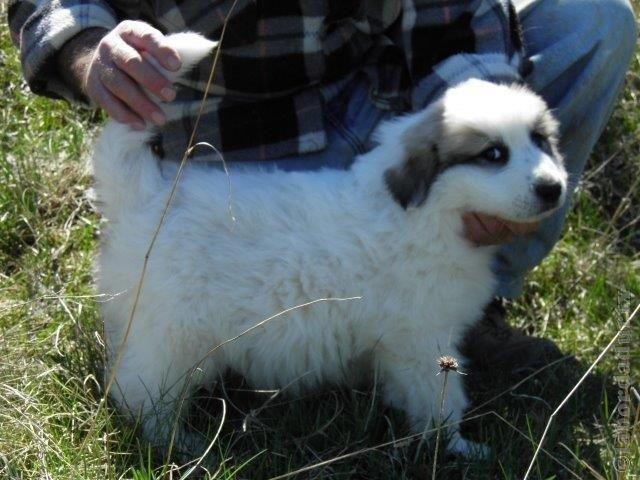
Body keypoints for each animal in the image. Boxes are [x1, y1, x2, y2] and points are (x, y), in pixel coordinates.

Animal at [92, 32, 568, 454]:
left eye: (540, 141)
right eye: (493, 155)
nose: (553, 189)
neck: (430, 212)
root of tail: (149, 191)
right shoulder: (421, 339)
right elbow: (440, 398)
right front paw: (456, 447)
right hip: (173, 332)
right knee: (141, 390)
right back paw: (175, 441)